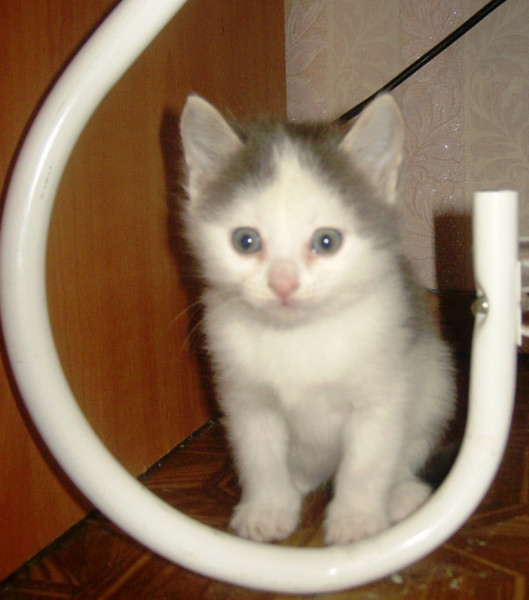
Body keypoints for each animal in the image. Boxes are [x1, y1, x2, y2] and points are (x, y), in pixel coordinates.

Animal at [179, 93, 455, 545]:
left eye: (327, 241)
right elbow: (259, 456)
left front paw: (356, 519)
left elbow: (368, 461)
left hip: (436, 379)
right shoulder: (245, 397)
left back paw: (400, 493)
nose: (283, 284)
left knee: (412, 440)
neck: (298, 337)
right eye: (245, 241)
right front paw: (268, 509)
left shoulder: (383, 391)